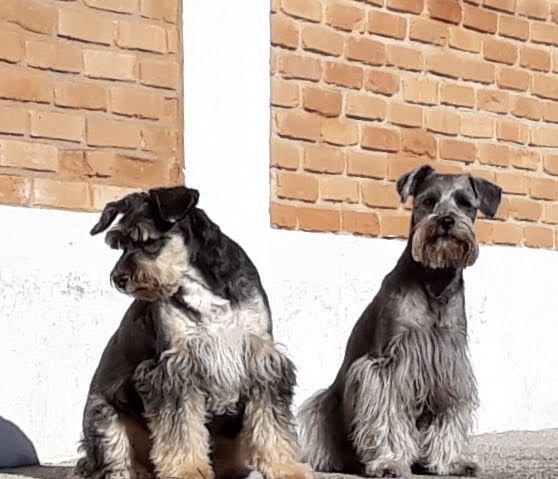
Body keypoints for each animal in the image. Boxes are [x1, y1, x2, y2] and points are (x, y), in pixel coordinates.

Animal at [74, 186, 310, 479]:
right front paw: (187, 469)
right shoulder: (173, 369)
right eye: (119, 244)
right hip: (104, 418)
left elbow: (272, 423)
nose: (119, 278)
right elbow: (181, 429)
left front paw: (286, 467)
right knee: (112, 460)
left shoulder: (262, 359)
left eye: (148, 241)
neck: (200, 284)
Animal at [298, 165, 502, 477]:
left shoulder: (450, 366)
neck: (434, 281)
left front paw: (452, 461)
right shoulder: (386, 367)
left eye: (466, 203)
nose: (446, 220)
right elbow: (388, 415)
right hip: (324, 403)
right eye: (428, 200)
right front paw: (390, 461)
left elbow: (448, 416)